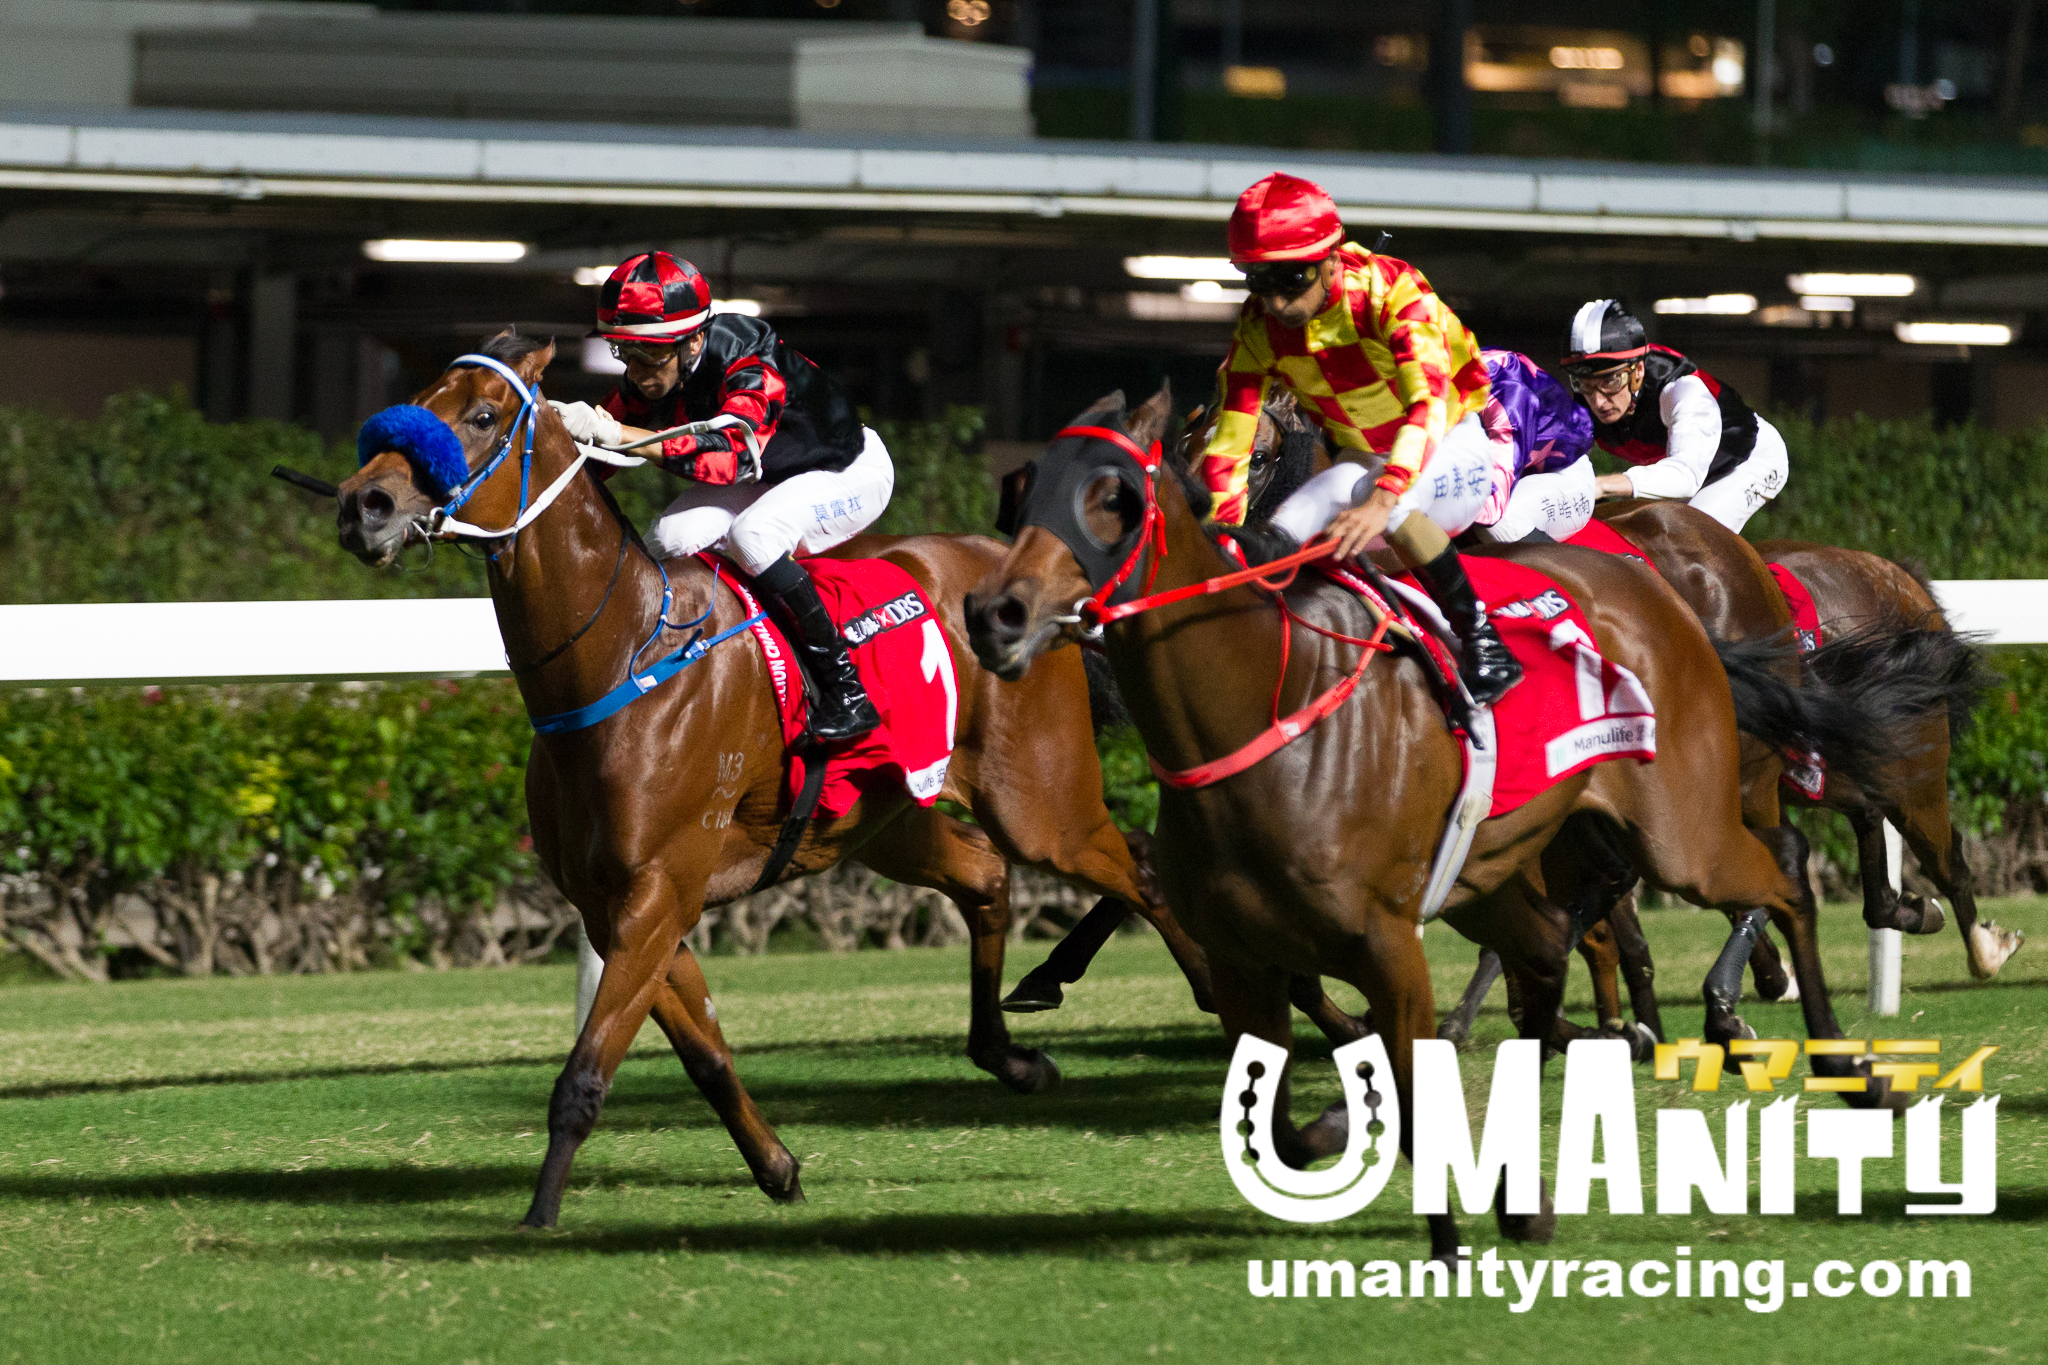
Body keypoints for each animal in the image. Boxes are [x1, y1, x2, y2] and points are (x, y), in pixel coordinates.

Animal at [333, 333, 1236, 1227]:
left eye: (483, 416)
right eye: (423, 396)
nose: (361, 503)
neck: (620, 653)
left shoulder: (658, 890)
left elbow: (587, 1071)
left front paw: (540, 1216)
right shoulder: (613, 903)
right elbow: (705, 1052)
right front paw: (777, 1165)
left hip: (1040, 804)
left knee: (1140, 864)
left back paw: (1215, 999)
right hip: (891, 819)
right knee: (986, 873)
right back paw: (1011, 1053)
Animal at [958, 384, 1810, 1260]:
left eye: (1259, 455)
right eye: (1196, 447)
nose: (996, 613)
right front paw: (1048, 975)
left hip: (1709, 786)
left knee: (1758, 860)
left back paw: (1721, 1004)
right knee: (1596, 913)